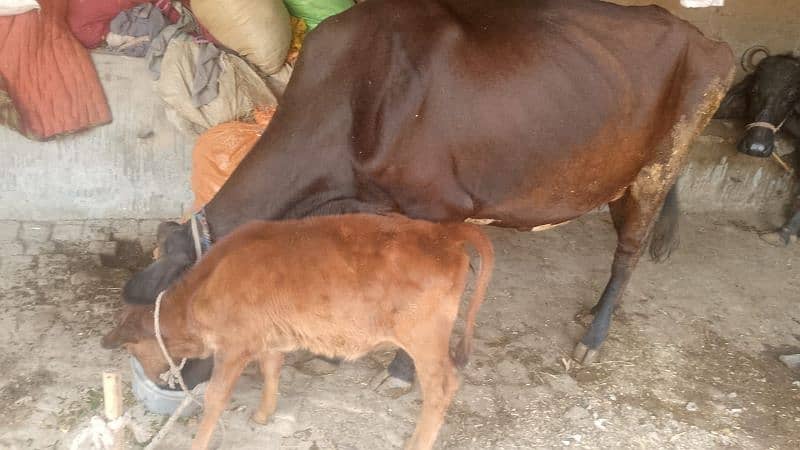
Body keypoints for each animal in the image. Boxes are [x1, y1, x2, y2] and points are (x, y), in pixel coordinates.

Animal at [100, 214, 494, 450]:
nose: (156, 380)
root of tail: (443, 230)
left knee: (442, 387)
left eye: (133, 351)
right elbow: (272, 370)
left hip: (425, 338)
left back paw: (417, 443)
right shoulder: (268, 337)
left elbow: (215, 398)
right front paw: (263, 414)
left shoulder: (234, 346)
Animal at [120, 0, 736, 386]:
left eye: (176, 325)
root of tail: (706, 38)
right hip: (621, 170)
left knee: (630, 250)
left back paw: (594, 336)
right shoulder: (369, 205)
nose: (163, 383)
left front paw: (400, 371)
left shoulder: (439, 208)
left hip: (663, 160)